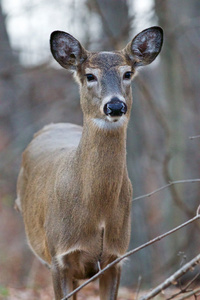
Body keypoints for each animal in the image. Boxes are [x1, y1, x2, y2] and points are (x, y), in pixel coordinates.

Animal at [15, 27, 162, 298]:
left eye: (127, 73)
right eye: (90, 75)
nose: (115, 105)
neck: (97, 212)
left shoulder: (116, 257)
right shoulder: (59, 257)